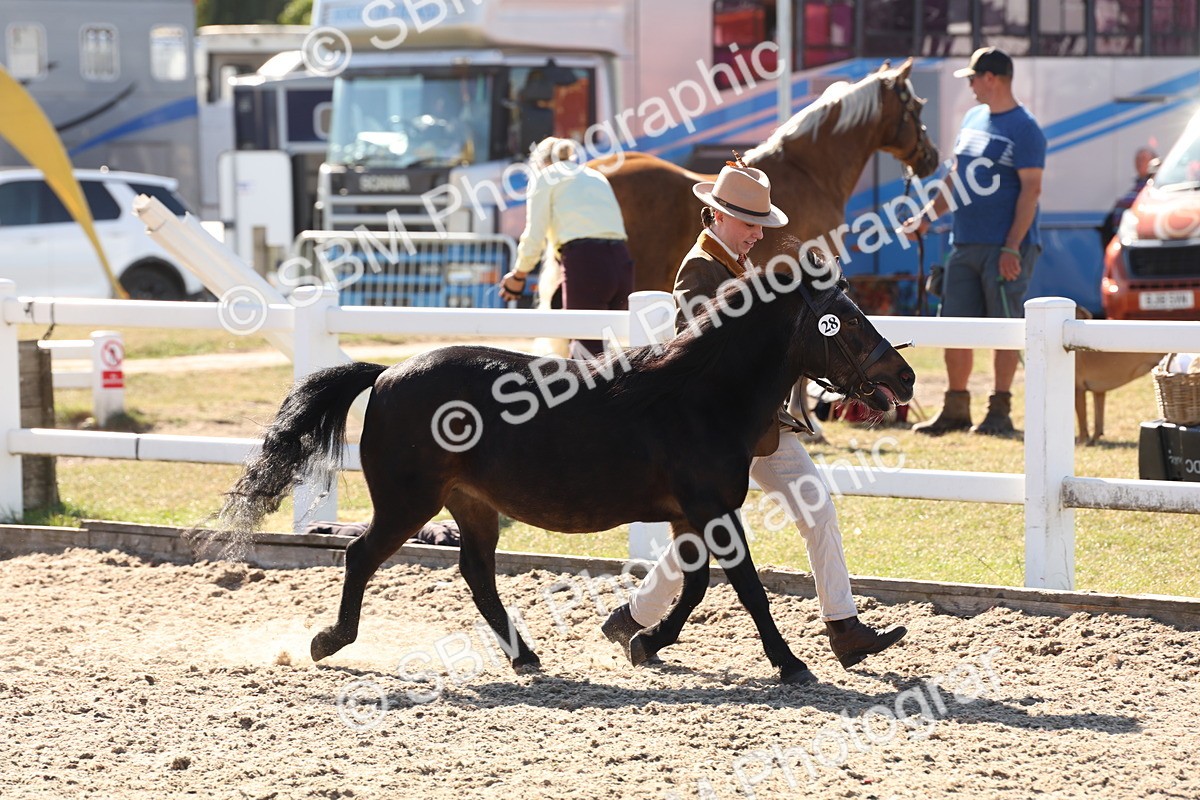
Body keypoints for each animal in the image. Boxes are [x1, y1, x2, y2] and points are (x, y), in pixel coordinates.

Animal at [213, 254, 915, 685]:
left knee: (477, 575)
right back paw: (328, 641)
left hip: (471, 504)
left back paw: (526, 657)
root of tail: (385, 373)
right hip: (409, 503)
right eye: (845, 320)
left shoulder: (691, 515)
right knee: (361, 555)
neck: (698, 395)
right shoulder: (711, 508)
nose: (905, 377)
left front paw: (645, 642)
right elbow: (743, 586)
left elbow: (695, 586)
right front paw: (790, 662)